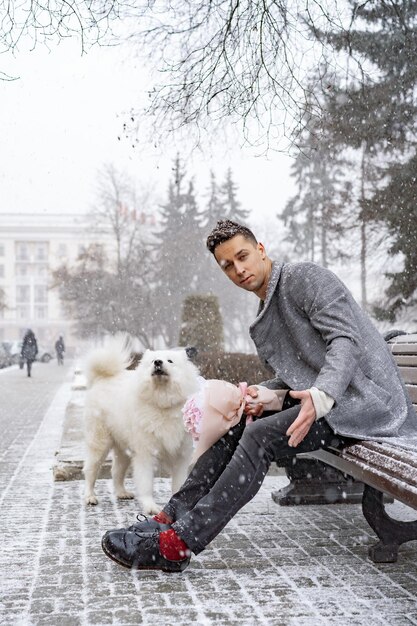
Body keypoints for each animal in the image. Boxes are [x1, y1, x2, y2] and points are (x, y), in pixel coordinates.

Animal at [83, 336, 200, 512]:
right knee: (91, 470)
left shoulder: (181, 455)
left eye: (170, 361)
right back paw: (90, 497)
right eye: (153, 360)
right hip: (100, 443)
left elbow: (179, 483)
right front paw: (150, 507)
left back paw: (122, 493)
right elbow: (145, 483)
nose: (158, 362)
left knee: (116, 471)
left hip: (123, 448)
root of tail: (102, 378)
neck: (162, 405)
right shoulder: (145, 453)